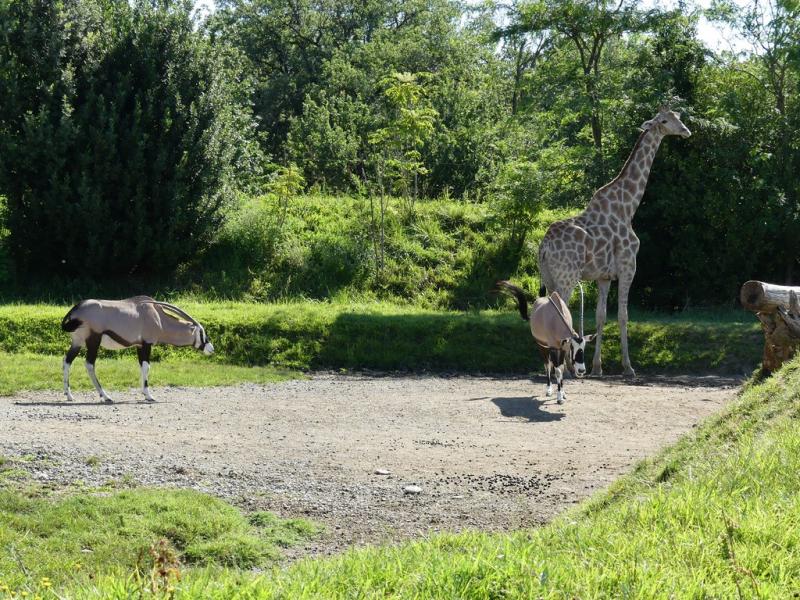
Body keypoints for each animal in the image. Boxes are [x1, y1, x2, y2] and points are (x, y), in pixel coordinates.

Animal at [537, 106, 691, 377]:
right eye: (664, 120)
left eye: (678, 116)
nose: (685, 131)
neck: (628, 206)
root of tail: (544, 246)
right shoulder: (629, 268)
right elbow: (623, 315)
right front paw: (628, 367)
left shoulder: (604, 276)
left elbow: (601, 316)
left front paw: (597, 367)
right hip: (566, 277)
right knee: (562, 313)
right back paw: (567, 368)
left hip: (549, 277)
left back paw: (553, 366)